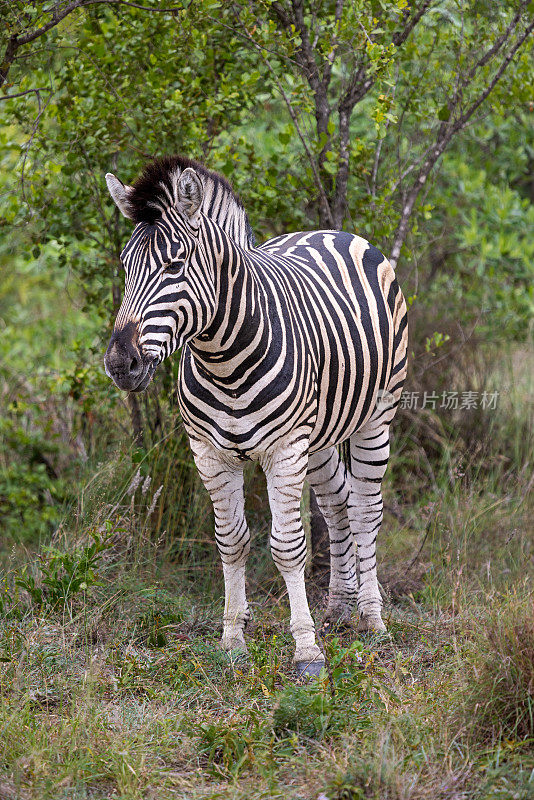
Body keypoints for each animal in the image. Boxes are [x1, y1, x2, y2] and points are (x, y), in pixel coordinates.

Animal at [104, 155, 410, 676]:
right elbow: (231, 541)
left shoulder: (284, 451)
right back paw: (339, 606)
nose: (120, 364)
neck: (224, 359)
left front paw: (306, 649)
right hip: (321, 434)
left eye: (174, 265)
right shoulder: (209, 454)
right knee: (337, 503)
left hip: (377, 414)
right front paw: (232, 639)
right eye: (125, 266)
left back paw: (371, 619)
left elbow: (288, 546)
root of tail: (332, 230)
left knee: (366, 508)